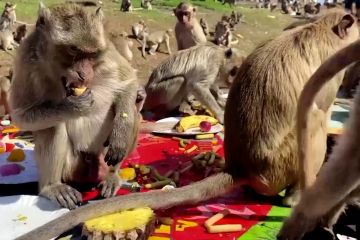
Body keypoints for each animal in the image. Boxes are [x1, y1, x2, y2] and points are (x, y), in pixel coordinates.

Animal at [8, 2, 141, 211]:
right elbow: (21, 115)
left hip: (101, 159)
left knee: (132, 111)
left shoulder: (107, 50)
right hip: (70, 168)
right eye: (73, 50)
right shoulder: (25, 60)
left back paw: (112, 175)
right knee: (51, 126)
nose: (84, 74)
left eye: (92, 54)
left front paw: (121, 132)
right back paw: (52, 187)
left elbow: (129, 82)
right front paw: (74, 107)